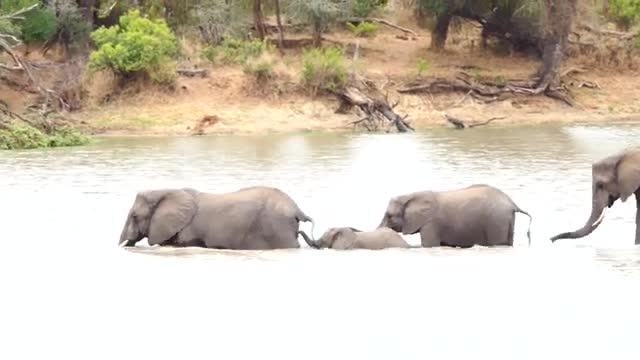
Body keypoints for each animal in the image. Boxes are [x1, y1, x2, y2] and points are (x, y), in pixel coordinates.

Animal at [378, 183, 532, 248]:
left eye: (389, 216)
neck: (410, 196)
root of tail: (512, 203)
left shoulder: (430, 223)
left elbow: (429, 245)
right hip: (506, 219)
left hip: (496, 220)